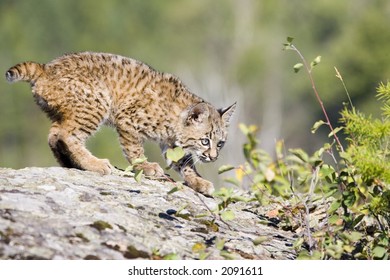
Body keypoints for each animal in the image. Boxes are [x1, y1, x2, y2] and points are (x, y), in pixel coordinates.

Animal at [5, 52, 235, 196]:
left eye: (220, 143)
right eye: (205, 141)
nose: (213, 157)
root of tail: (45, 68)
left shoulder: (170, 143)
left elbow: (185, 163)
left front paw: (199, 182)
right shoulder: (128, 119)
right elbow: (135, 150)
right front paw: (147, 168)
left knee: (54, 134)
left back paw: (72, 164)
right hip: (97, 103)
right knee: (67, 135)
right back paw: (95, 164)